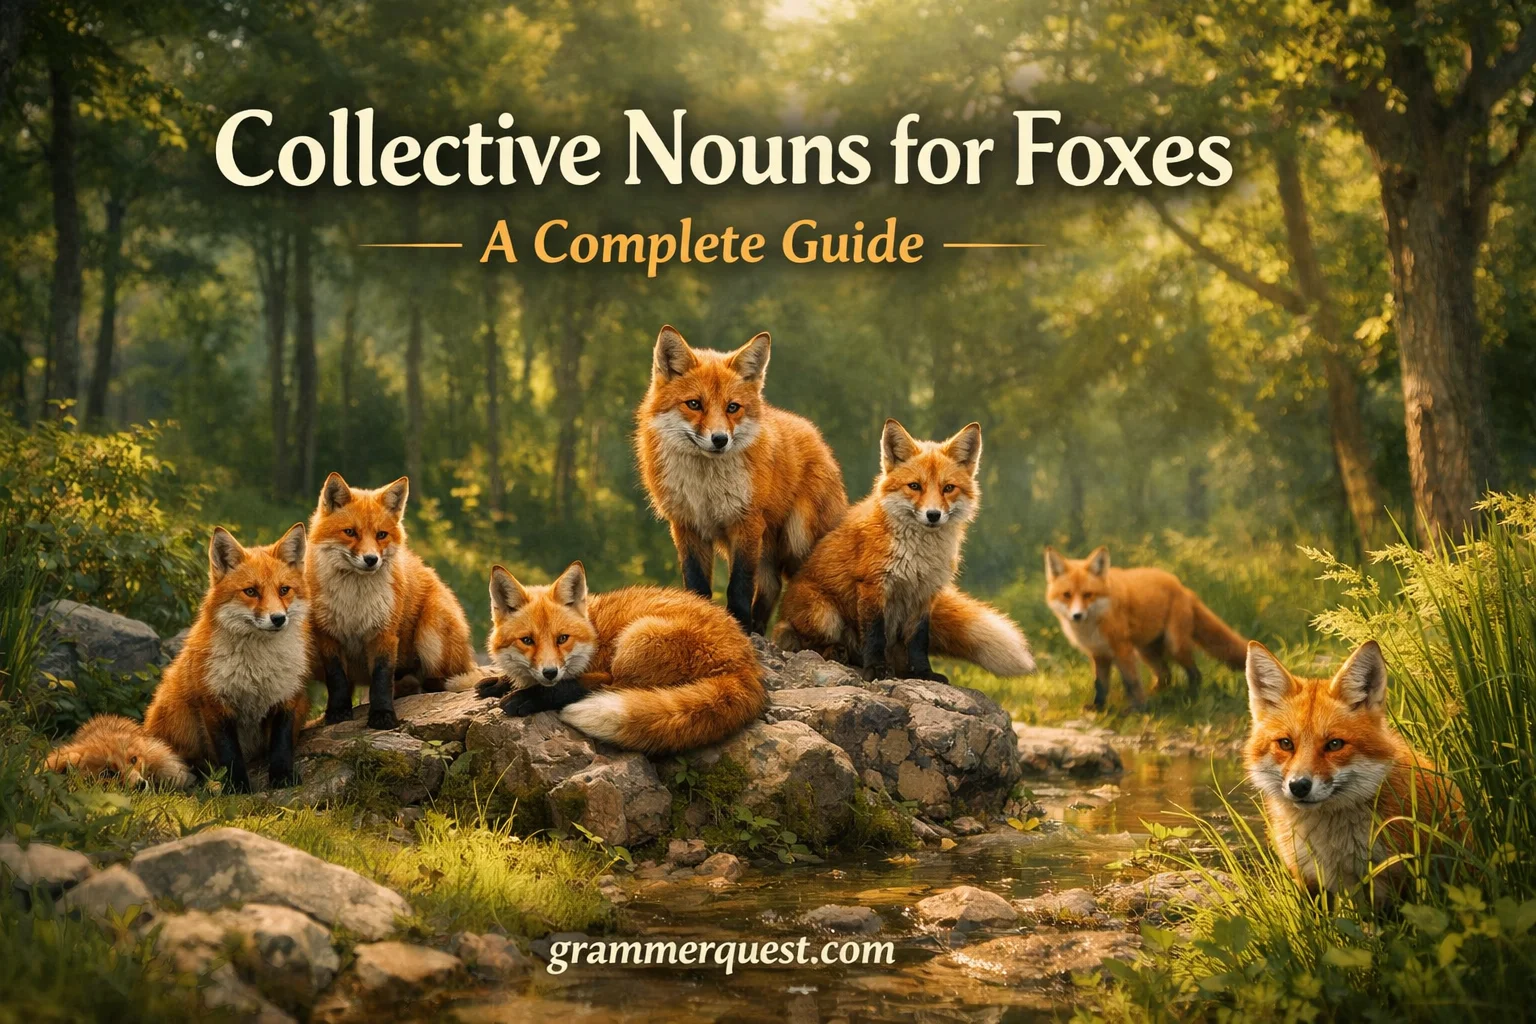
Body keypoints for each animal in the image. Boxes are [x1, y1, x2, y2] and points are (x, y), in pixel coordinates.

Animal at [307, 473, 476, 730]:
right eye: (350, 532)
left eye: (381, 535)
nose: (371, 559)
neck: (354, 602)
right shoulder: (328, 637)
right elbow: (337, 681)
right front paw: (337, 713)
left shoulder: (384, 634)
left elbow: (382, 680)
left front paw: (383, 716)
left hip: (430, 634)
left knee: (437, 681)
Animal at [468, 561, 767, 755]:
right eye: (527, 640)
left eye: (562, 638)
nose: (550, 672)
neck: (595, 633)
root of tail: (746, 666)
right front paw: (500, 682)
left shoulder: (595, 667)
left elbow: (568, 684)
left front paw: (526, 694)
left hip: (634, 640)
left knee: (611, 687)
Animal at [635, 324, 847, 634]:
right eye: (694, 404)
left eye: (732, 407)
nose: (720, 439)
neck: (705, 489)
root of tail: (821, 442)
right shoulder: (687, 525)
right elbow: (697, 584)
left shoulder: (745, 523)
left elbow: (739, 585)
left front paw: (739, 624)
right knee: (772, 584)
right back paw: (759, 626)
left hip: (799, 539)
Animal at [775, 420, 1035, 681]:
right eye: (915, 486)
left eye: (948, 488)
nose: (933, 515)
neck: (918, 556)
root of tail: (782, 614)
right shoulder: (873, 585)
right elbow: (874, 635)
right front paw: (877, 669)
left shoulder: (924, 595)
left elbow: (919, 642)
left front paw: (923, 672)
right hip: (823, 615)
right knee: (803, 642)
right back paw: (835, 652)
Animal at [1044, 546, 1248, 710]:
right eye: (1067, 595)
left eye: (1088, 595)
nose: (1077, 615)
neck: (1094, 625)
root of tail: (1183, 588)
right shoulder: (1099, 653)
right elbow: (1100, 685)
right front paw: (1098, 708)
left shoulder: (1122, 649)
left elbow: (1132, 682)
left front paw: (1138, 710)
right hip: (1146, 651)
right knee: (1166, 676)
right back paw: (1156, 696)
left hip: (1174, 645)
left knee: (1194, 674)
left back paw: (1190, 697)